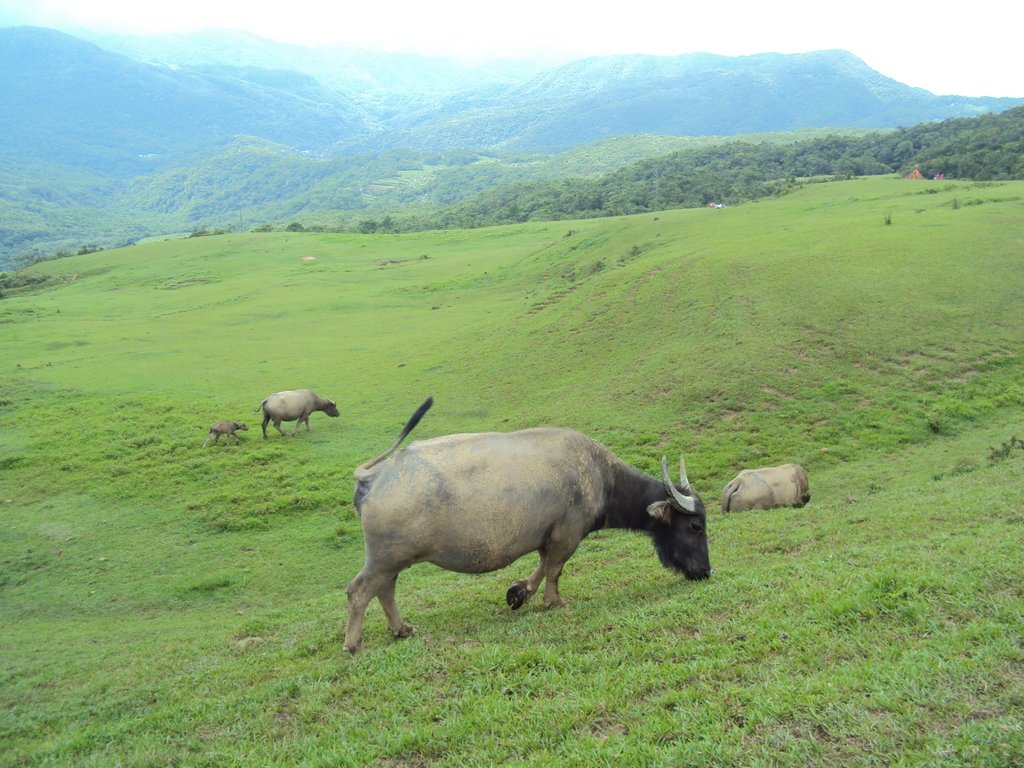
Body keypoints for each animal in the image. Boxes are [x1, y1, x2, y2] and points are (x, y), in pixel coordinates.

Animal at [344, 397, 712, 655]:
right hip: (385, 558)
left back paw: (402, 629)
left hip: (392, 560)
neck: (599, 477)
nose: (706, 571)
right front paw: (554, 601)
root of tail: (378, 475)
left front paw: (519, 592)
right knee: (359, 590)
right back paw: (353, 643)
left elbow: (542, 565)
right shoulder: (567, 535)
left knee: (385, 590)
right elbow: (555, 569)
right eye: (695, 527)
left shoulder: (549, 536)